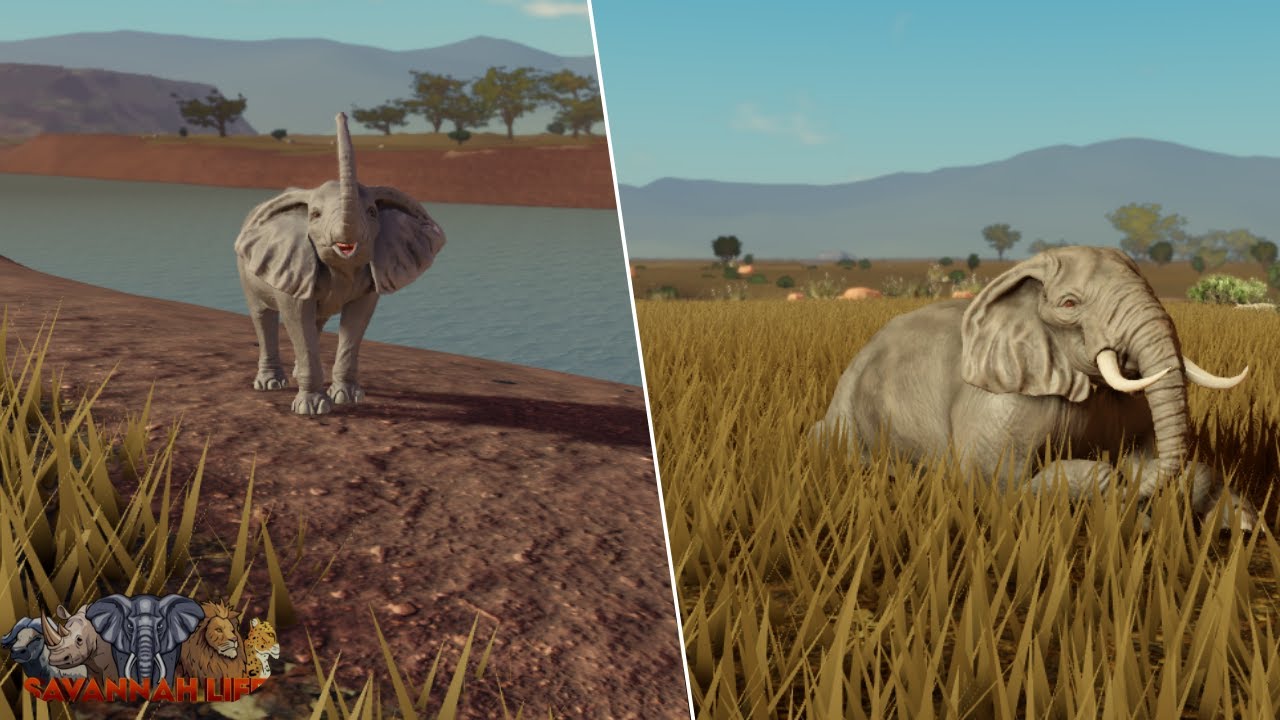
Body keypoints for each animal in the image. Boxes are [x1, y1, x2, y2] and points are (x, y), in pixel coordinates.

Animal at [235, 111, 446, 416]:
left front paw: (347, 398)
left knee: (316, 321)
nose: (341, 114)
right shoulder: (294, 263)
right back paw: (270, 384)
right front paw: (311, 409)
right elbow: (296, 313)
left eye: (372, 212)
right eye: (315, 215)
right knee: (263, 316)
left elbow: (356, 321)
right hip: (245, 270)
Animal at [812, 246, 1257, 530]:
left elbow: (1165, 460)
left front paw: (1242, 522)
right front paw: (1125, 503)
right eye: (1069, 304)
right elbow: (996, 484)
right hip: (845, 411)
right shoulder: (1000, 404)